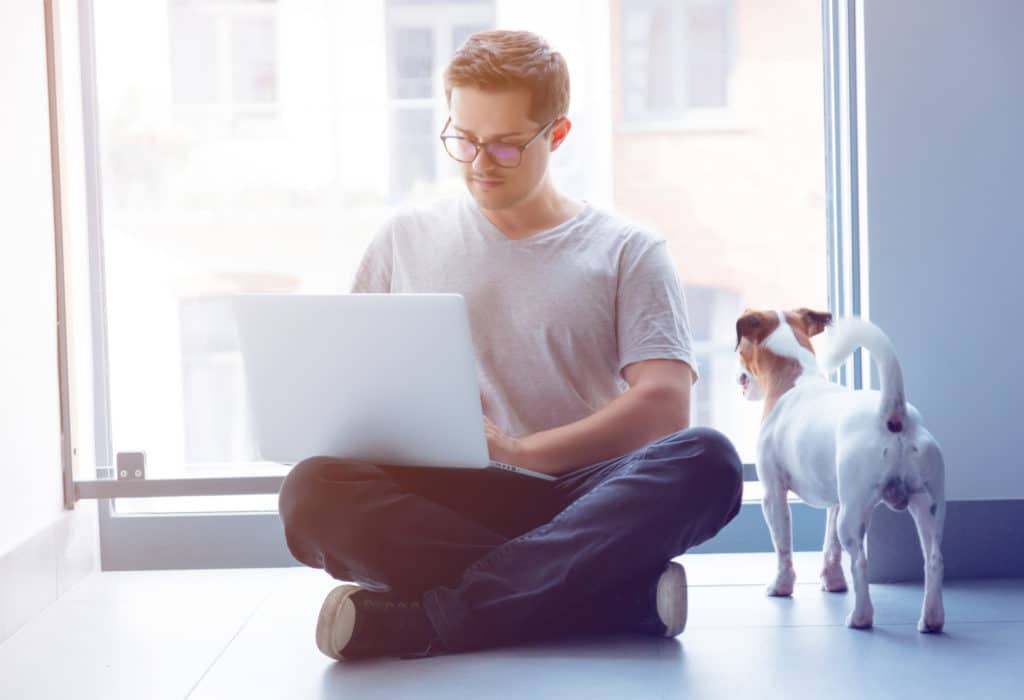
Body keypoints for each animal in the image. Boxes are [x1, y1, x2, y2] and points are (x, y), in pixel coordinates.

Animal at [733, 309, 946, 630]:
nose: (737, 379)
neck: (795, 377)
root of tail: (892, 414)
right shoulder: (836, 501)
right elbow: (829, 546)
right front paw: (832, 582)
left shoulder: (772, 494)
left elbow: (783, 546)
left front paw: (781, 586)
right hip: (927, 506)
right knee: (933, 559)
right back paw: (932, 619)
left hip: (854, 513)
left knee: (859, 561)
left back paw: (860, 617)